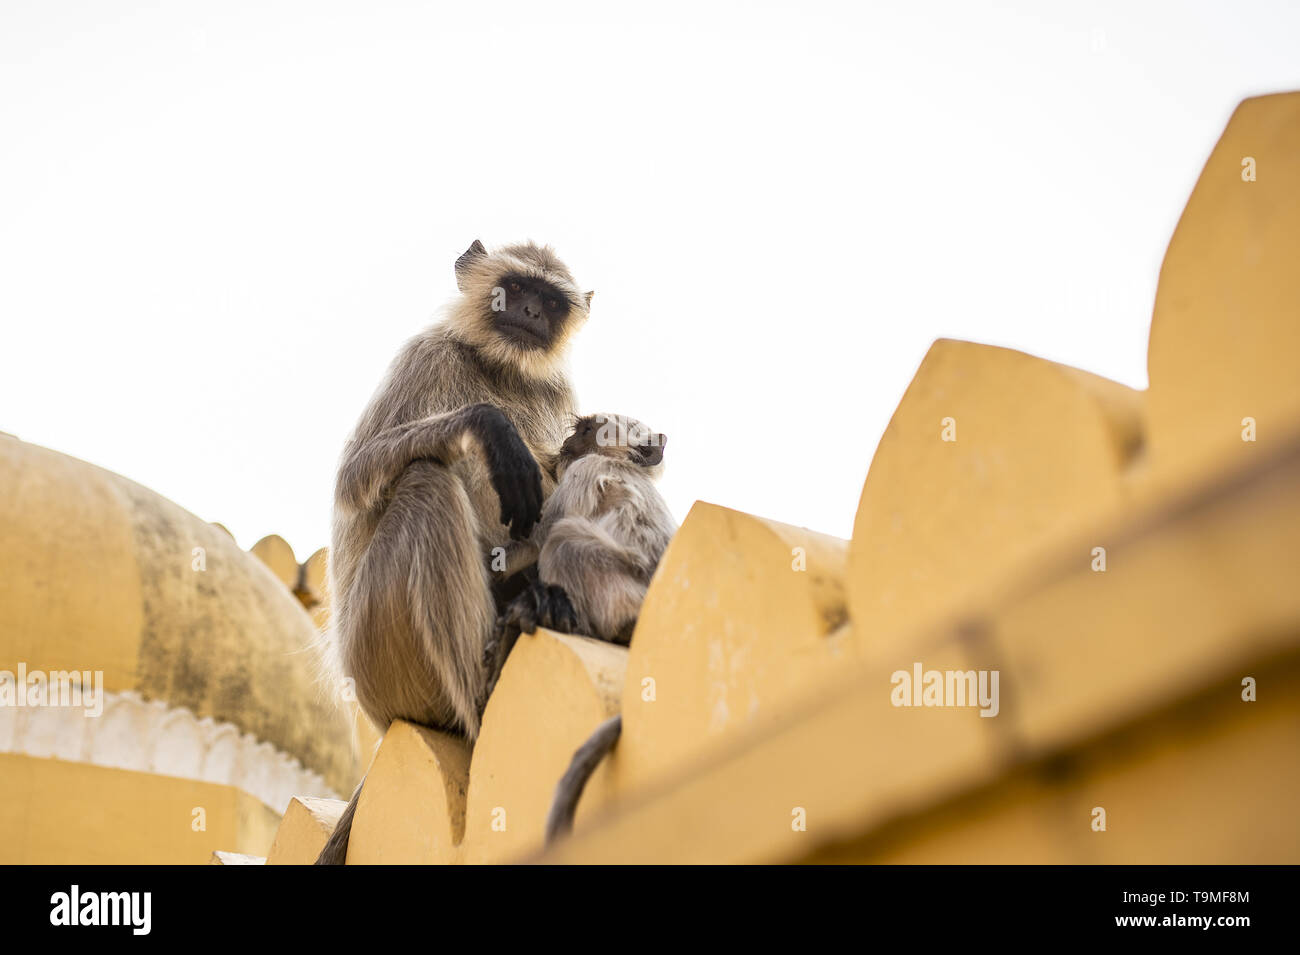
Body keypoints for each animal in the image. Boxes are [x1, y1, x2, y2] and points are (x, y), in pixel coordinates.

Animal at [314, 240, 595, 867]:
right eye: (516, 289)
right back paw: (487, 693)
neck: (499, 368)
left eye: (550, 302)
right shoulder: (426, 354)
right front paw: (491, 427)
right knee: (426, 480)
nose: (530, 314)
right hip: (378, 657)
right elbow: (352, 478)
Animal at [483, 415, 676, 841]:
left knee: (563, 538)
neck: (625, 465)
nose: (568, 442)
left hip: (611, 585)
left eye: (588, 431)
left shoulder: (583, 472)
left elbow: (536, 543)